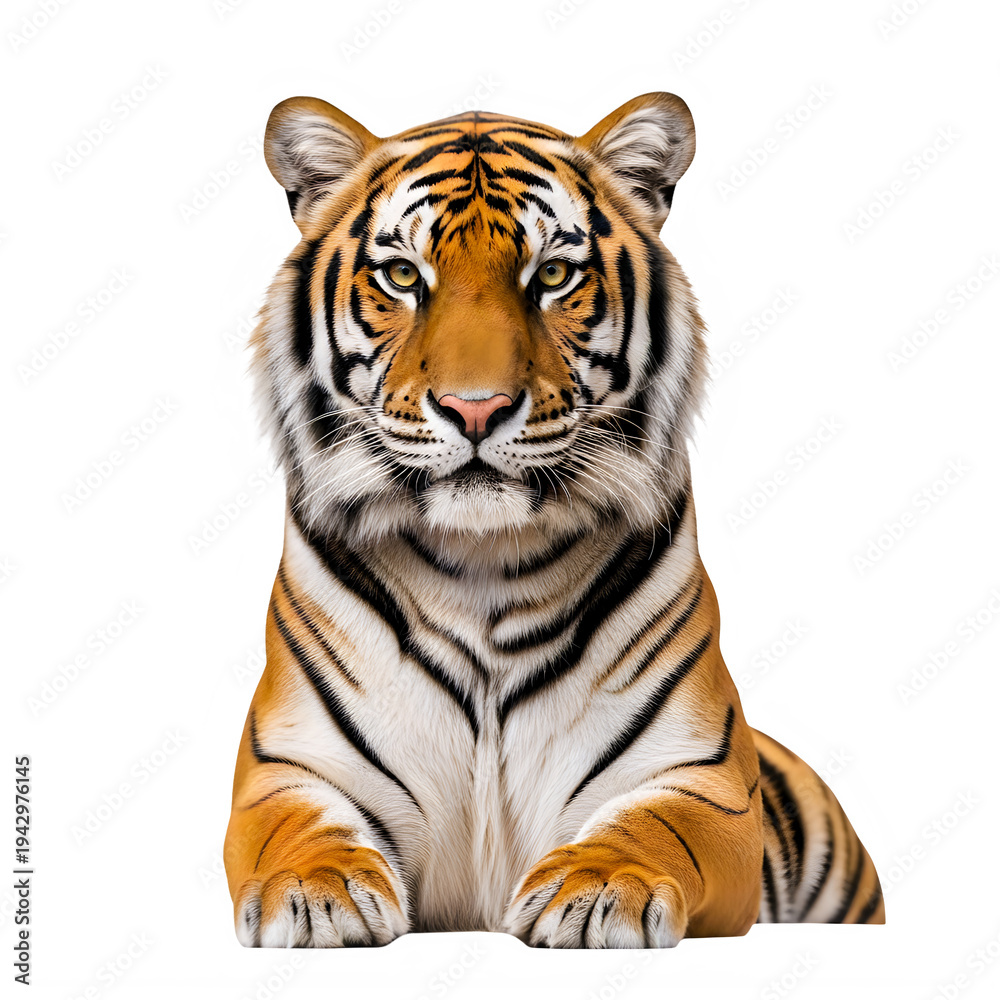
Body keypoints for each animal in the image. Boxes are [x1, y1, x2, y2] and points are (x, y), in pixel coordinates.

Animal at [223, 92, 885, 948]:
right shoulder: (290, 767)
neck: (482, 561)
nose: (476, 408)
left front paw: (602, 889)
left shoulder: (698, 777)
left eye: (554, 276)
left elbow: (655, 828)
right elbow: (296, 831)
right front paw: (314, 891)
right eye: (402, 276)